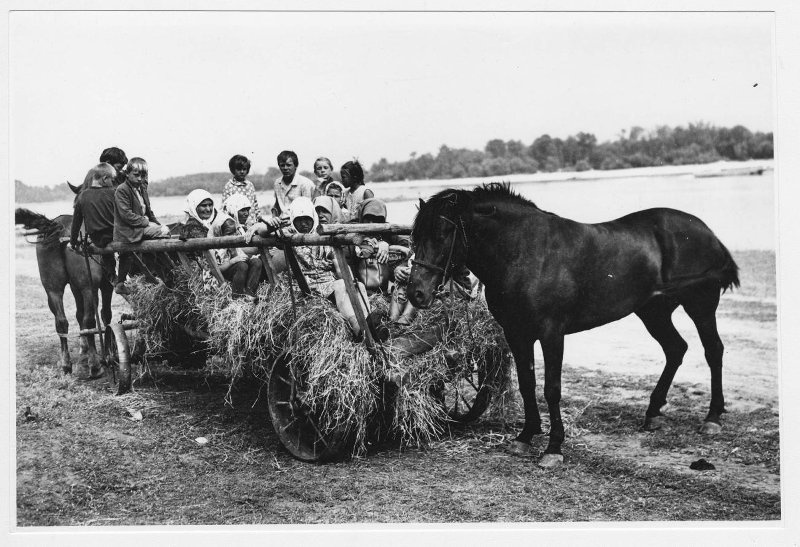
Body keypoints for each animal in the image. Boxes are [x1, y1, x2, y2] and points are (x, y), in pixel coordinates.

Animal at [410, 183, 740, 466]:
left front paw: (554, 448)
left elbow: (551, 389)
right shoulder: (517, 334)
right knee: (676, 349)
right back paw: (653, 412)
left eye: (443, 232)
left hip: (700, 306)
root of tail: (706, 231)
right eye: (415, 236)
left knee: (713, 350)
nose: (417, 293)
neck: (525, 251)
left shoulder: (551, 333)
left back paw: (712, 417)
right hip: (653, 312)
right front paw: (525, 436)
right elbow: (527, 384)